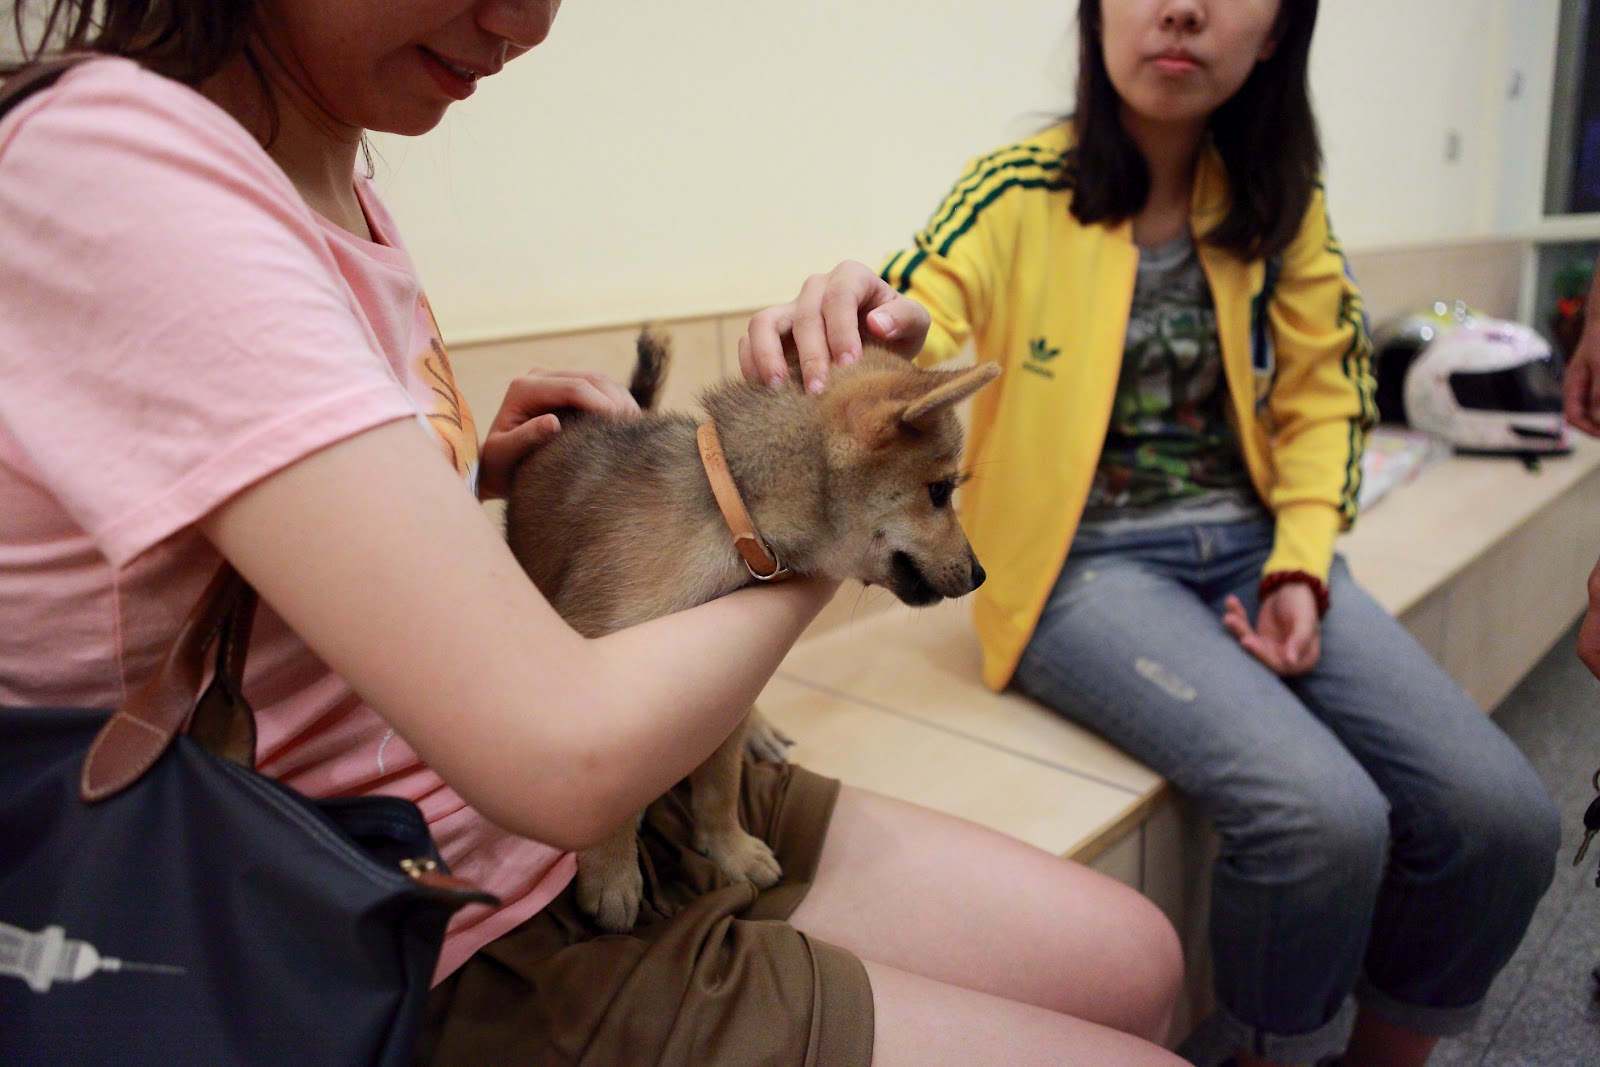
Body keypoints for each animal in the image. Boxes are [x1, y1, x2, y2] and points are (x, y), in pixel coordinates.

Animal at [503, 328, 1000, 931]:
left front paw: (730, 850)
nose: (980, 575)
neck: (728, 516)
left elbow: (721, 787)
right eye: (940, 491)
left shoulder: (726, 683)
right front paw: (613, 876)